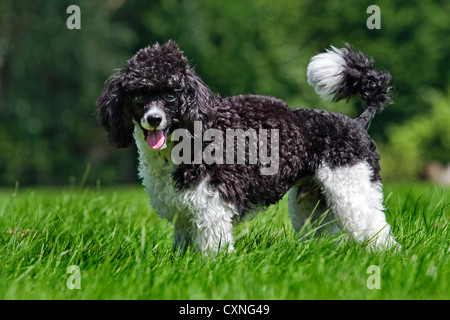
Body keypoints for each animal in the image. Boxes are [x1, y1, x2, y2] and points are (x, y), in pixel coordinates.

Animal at [96, 41, 400, 254]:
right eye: (138, 95)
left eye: (171, 94)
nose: (154, 119)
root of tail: (358, 123)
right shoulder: (185, 211)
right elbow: (183, 247)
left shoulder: (212, 205)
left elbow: (213, 249)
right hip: (311, 202)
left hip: (352, 189)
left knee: (375, 229)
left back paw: (387, 256)